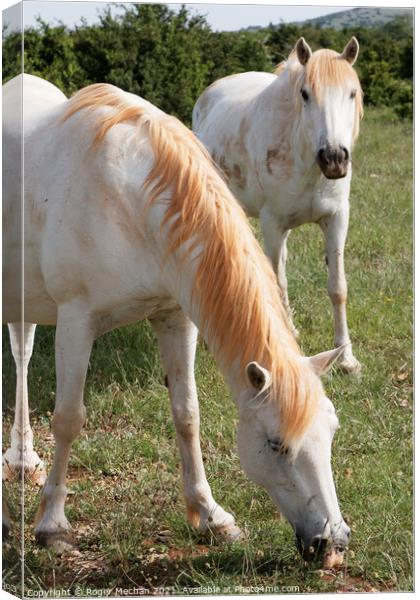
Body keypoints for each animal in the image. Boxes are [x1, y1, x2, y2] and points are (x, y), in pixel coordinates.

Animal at [3, 75, 350, 568]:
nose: (333, 544)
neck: (131, 200)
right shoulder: (76, 320)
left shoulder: (176, 317)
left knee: (22, 352)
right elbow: (69, 419)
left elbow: (187, 415)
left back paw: (22, 459)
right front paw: (51, 525)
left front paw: (211, 515)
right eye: (275, 444)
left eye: (332, 431)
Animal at [192, 37, 362, 372]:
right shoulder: (271, 223)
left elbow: (338, 288)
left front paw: (347, 358)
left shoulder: (337, 219)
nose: (334, 158)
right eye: (305, 94)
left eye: (351, 93)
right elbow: (276, 283)